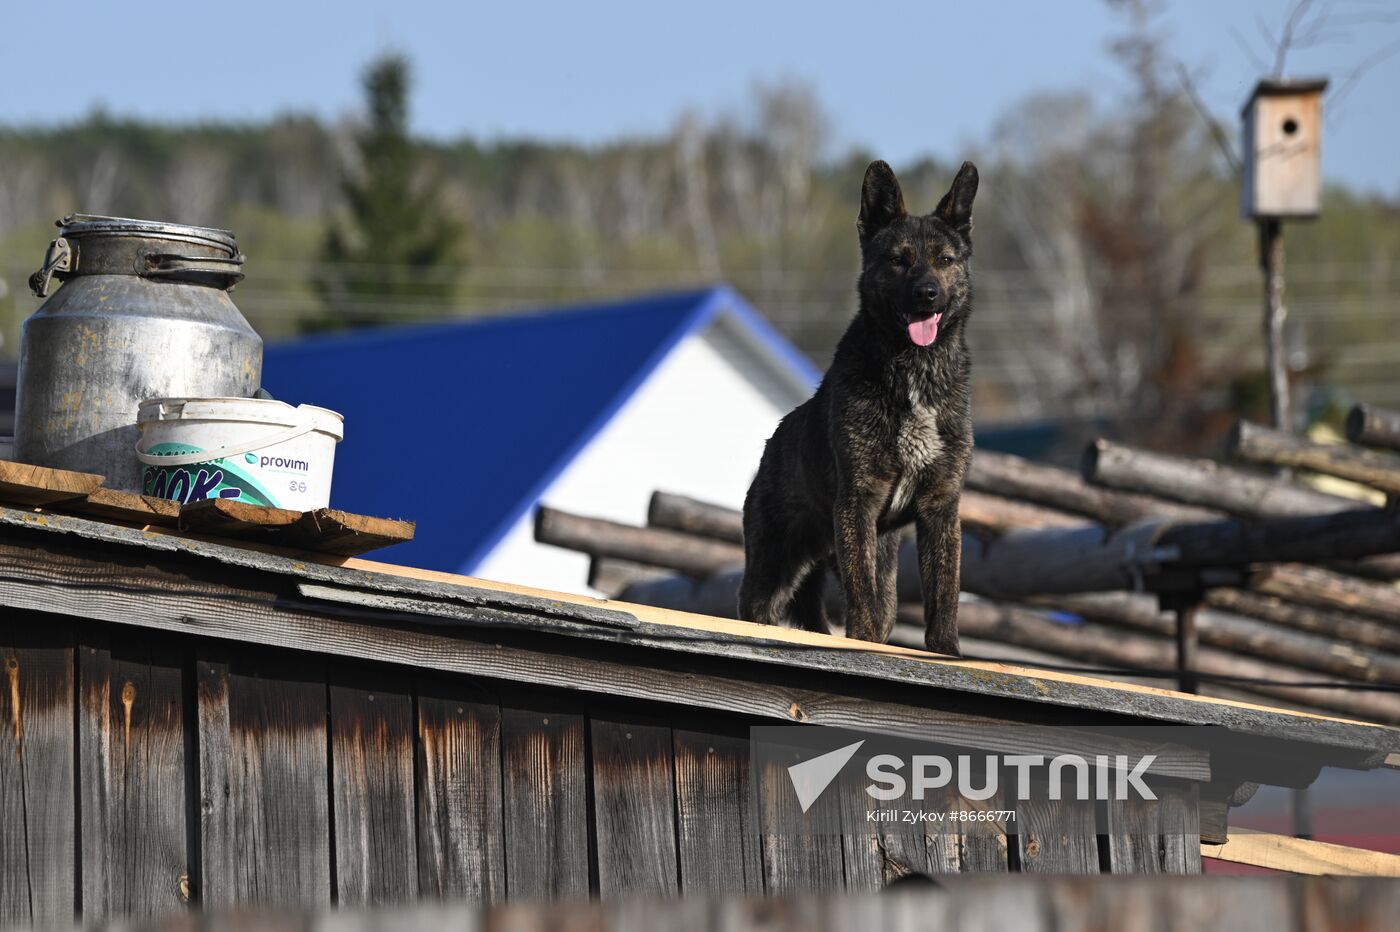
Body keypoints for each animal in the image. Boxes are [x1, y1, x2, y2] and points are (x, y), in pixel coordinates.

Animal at [739, 159, 980, 652]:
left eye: (944, 260)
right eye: (899, 260)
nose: (927, 293)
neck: (913, 374)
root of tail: (771, 446)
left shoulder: (941, 507)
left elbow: (944, 596)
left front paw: (947, 652)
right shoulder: (858, 501)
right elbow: (862, 602)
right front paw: (862, 643)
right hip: (770, 578)